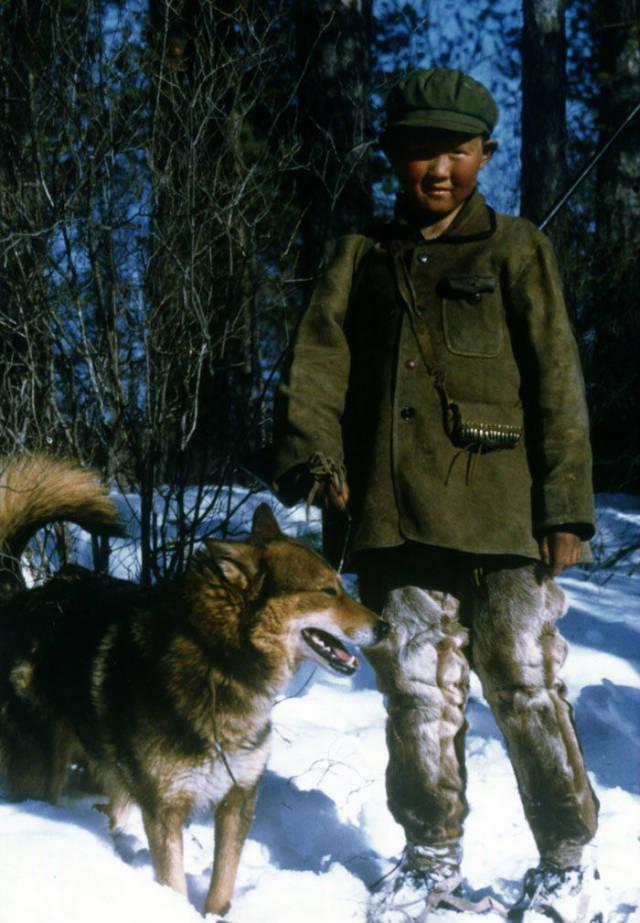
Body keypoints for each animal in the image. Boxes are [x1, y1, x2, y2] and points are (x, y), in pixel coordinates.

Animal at [0, 452, 390, 916]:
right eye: (327, 590)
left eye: (338, 585)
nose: (386, 627)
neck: (219, 664)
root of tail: (23, 596)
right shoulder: (165, 808)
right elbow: (173, 883)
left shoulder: (237, 798)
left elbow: (222, 884)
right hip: (46, 775)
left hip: (112, 778)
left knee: (109, 810)